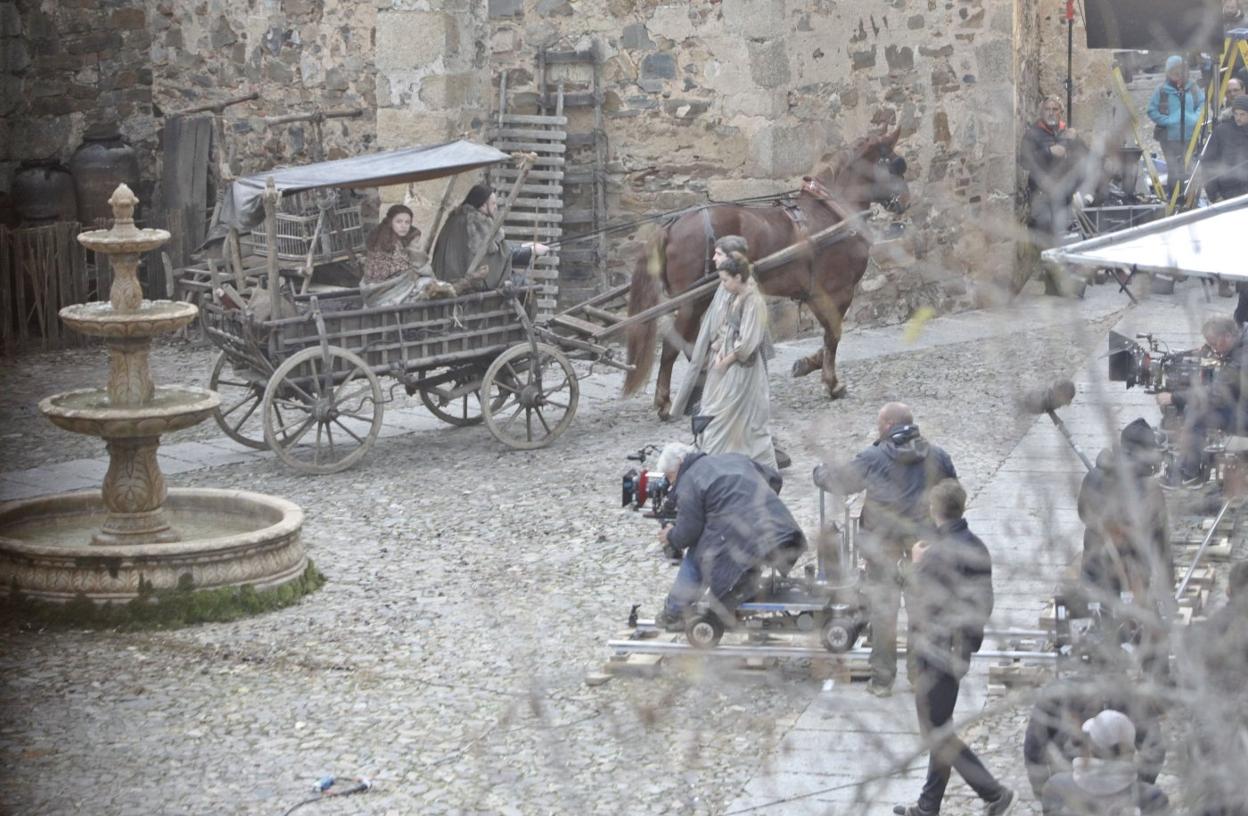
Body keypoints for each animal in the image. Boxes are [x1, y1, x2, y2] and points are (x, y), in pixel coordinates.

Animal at [621, 131, 908, 421]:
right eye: (896, 165)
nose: (906, 201)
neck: (833, 211)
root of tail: (672, 226)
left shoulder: (816, 294)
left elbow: (830, 334)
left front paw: (807, 364)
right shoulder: (837, 290)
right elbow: (834, 334)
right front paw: (832, 383)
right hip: (692, 300)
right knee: (673, 346)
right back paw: (666, 402)